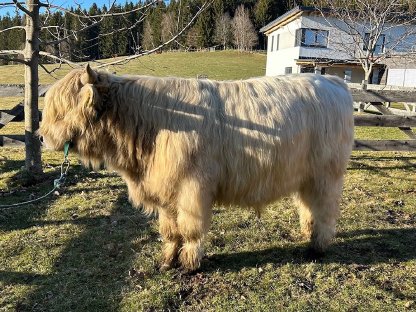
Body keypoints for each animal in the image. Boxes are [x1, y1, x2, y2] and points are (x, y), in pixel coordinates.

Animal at [40, 65, 354, 270]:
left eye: (62, 109)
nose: (42, 137)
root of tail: (333, 82)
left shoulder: (191, 186)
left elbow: (189, 228)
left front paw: (190, 262)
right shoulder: (164, 190)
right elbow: (170, 230)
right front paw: (168, 260)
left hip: (327, 174)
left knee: (325, 209)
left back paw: (317, 247)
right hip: (305, 175)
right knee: (308, 206)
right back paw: (306, 233)